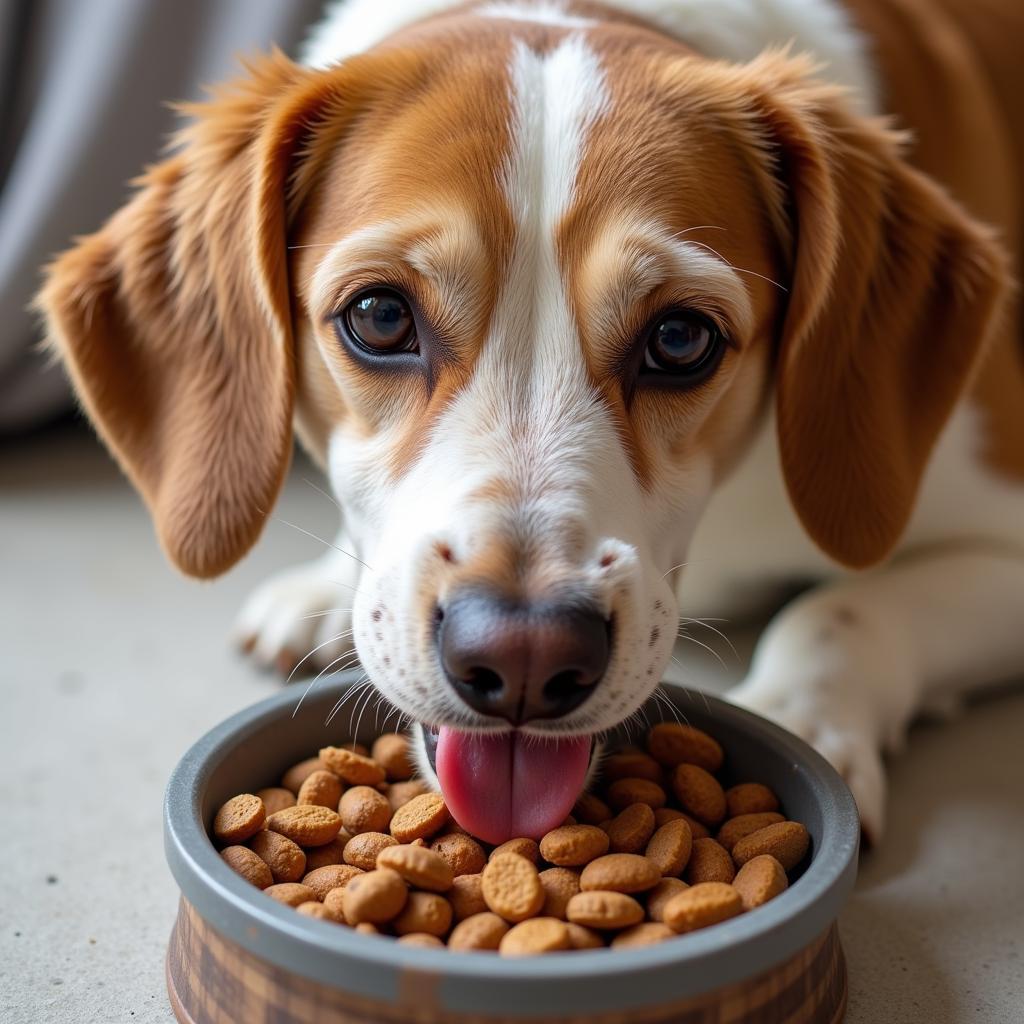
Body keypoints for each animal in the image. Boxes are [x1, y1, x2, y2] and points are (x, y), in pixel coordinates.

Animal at [36, 0, 1019, 843]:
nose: (524, 659)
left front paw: (802, 717)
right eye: (380, 317)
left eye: (681, 338)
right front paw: (321, 588)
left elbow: (839, 608)